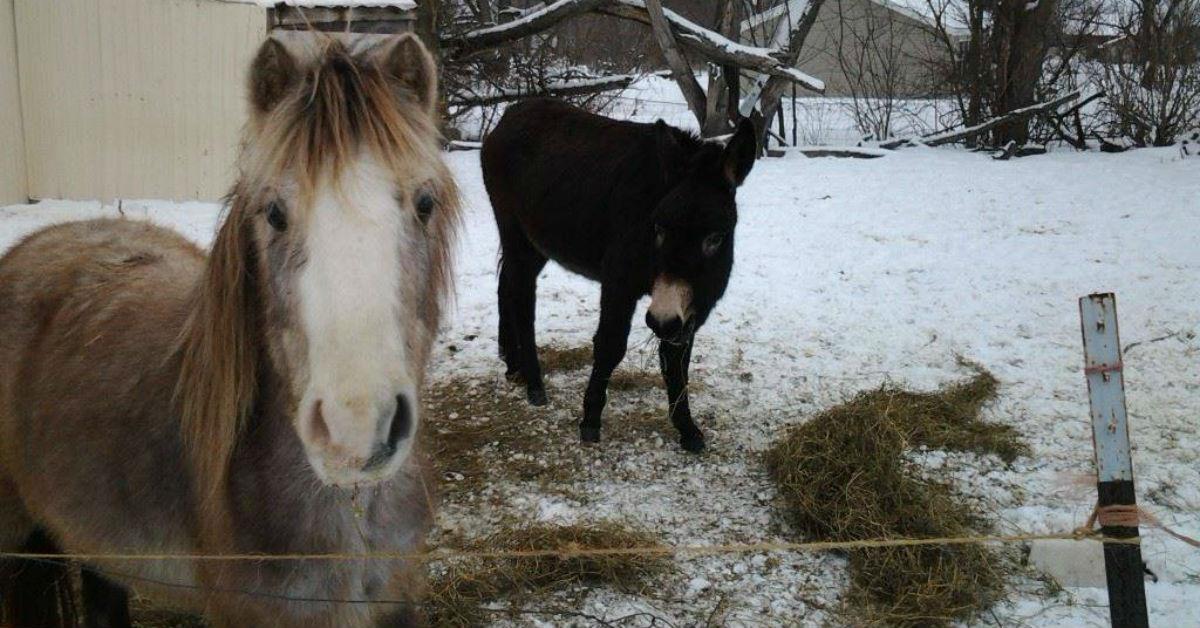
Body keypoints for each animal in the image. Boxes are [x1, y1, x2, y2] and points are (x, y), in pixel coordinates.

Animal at [480, 98, 753, 451]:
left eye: (716, 238)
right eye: (659, 228)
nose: (662, 320)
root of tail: (510, 113)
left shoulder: (696, 303)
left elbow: (677, 359)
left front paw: (687, 429)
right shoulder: (618, 283)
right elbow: (610, 345)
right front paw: (590, 419)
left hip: (535, 242)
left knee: (506, 286)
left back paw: (512, 365)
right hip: (515, 230)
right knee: (522, 301)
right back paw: (534, 383)